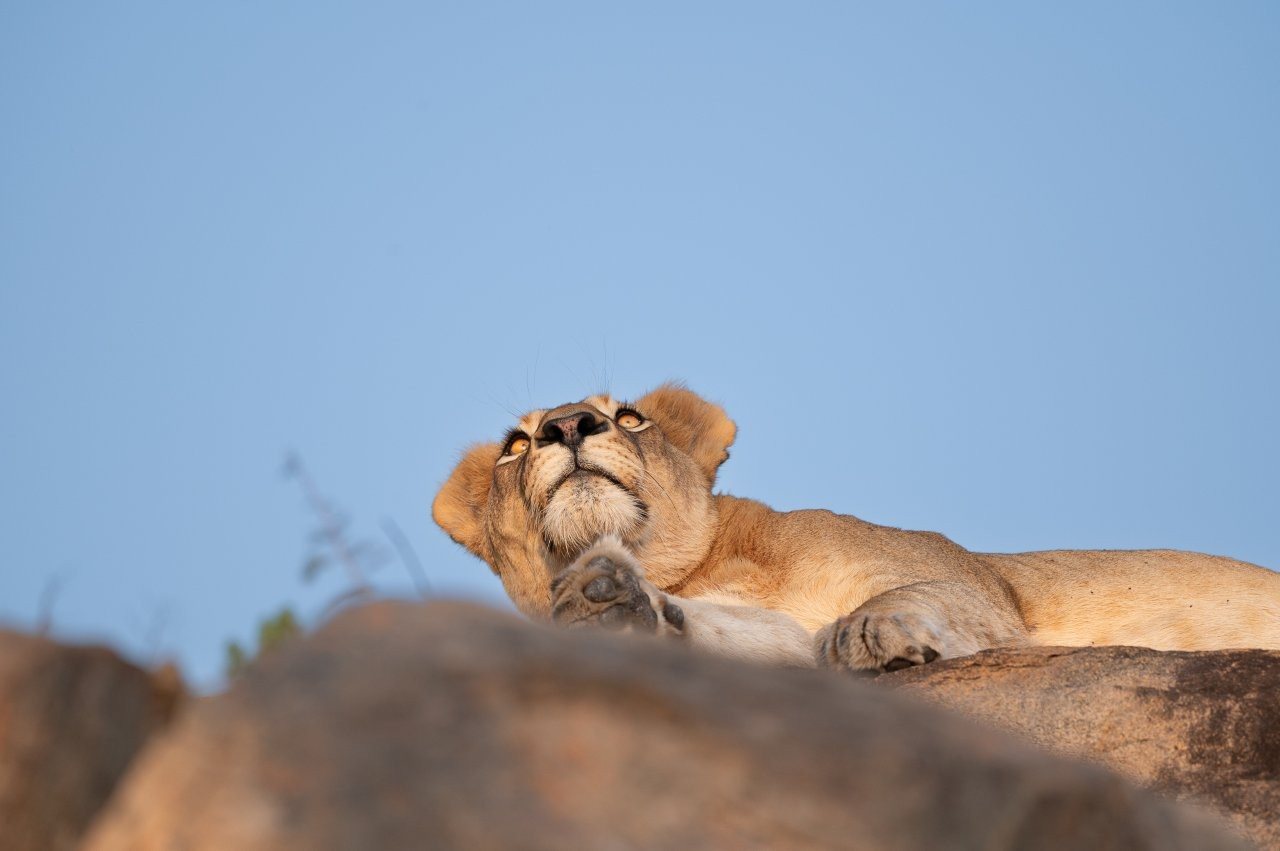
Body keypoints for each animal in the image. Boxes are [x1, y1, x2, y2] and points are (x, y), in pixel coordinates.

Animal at [433, 383, 1280, 672]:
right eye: (515, 443)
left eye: (630, 415)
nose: (568, 423)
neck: (703, 568)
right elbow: (743, 637)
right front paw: (609, 604)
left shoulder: (977, 582)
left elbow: (905, 594)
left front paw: (869, 634)